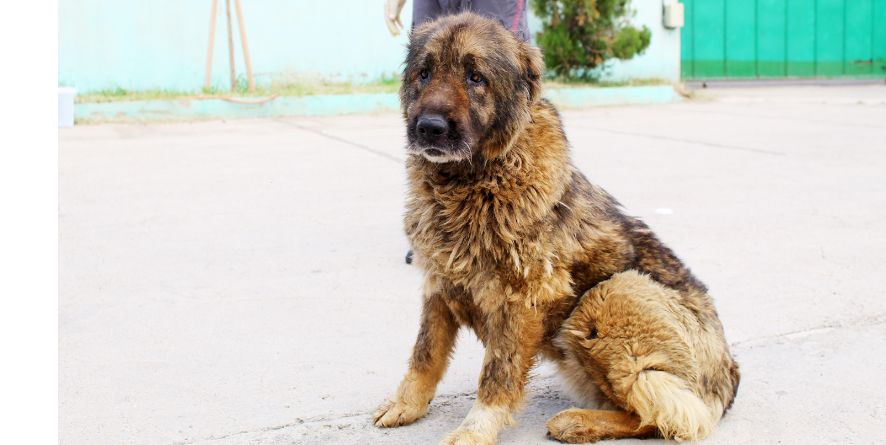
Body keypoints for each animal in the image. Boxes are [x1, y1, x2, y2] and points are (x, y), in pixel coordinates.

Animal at [374, 12, 744, 442]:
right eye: (424, 72)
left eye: (475, 77)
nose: (429, 127)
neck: (473, 183)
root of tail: (728, 380)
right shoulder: (440, 283)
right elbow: (425, 354)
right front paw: (406, 404)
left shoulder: (522, 298)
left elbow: (497, 375)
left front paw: (475, 429)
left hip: (611, 294)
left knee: (664, 415)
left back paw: (578, 421)